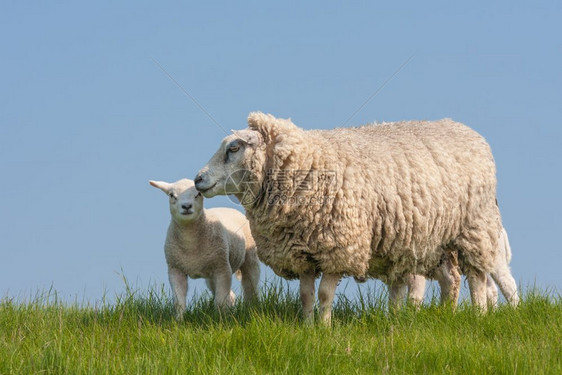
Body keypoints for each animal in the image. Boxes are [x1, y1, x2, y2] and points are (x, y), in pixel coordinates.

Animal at [148, 178, 260, 318]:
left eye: (198, 194)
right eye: (171, 195)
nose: (186, 206)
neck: (190, 244)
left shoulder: (222, 268)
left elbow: (220, 301)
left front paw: (220, 319)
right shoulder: (175, 269)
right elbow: (179, 301)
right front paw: (179, 320)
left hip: (249, 258)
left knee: (250, 285)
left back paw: (251, 309)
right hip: (211, 274)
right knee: (231, 295)